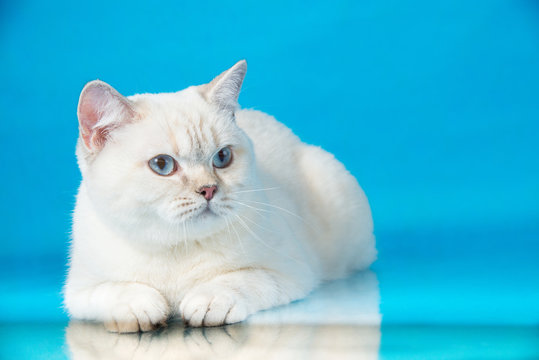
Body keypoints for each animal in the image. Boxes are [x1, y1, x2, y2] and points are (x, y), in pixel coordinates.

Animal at [63, 59, 376, 332]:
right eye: (162, 165)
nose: (209, 190)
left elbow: (240, 279)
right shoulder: (78, 290)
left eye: (222, 157)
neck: (176, 248)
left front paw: (208, 301)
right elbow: (113, 291)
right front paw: (141, 307)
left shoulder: (289, 271)